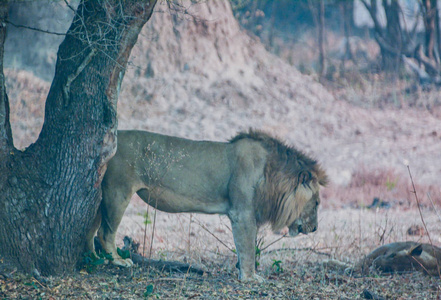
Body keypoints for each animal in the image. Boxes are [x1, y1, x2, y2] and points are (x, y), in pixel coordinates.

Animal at [87, 129, 326, 282]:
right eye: (316, 202)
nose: (315, 228)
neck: (271, 175)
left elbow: (242, 248)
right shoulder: (242, 213)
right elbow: (247, 247)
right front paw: (250, 278)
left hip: (102, 196)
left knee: (89, 230)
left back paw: (92, 258)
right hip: (118, 192)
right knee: (104, 233)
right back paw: (119, 261)